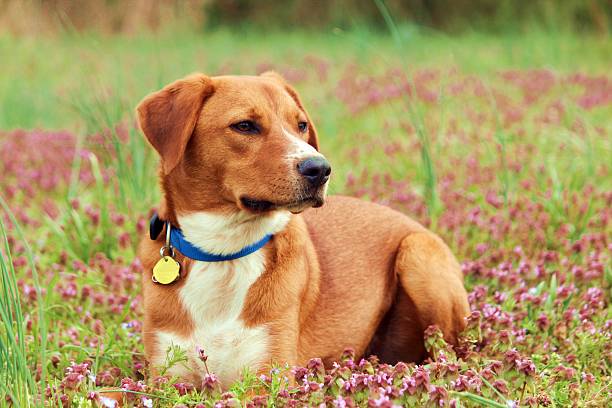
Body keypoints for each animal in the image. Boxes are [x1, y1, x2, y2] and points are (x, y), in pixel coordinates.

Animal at [135, 71, 468, 388]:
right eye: (244, 126)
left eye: (302, 125)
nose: (320, 168)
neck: (223, 252)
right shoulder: (166, 377)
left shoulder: (267, 376)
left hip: (419, 254)